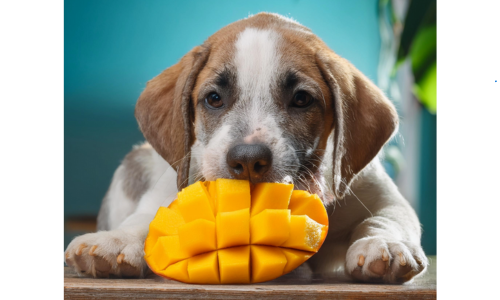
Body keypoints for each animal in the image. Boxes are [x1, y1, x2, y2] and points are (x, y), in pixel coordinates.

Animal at [64, 12, 428, 284]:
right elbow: (152, 217)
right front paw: (116, 241)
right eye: (214, 98)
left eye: (302, 100)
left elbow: (387, 218)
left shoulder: (381, 196)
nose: (249, 160)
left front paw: (384, 242)